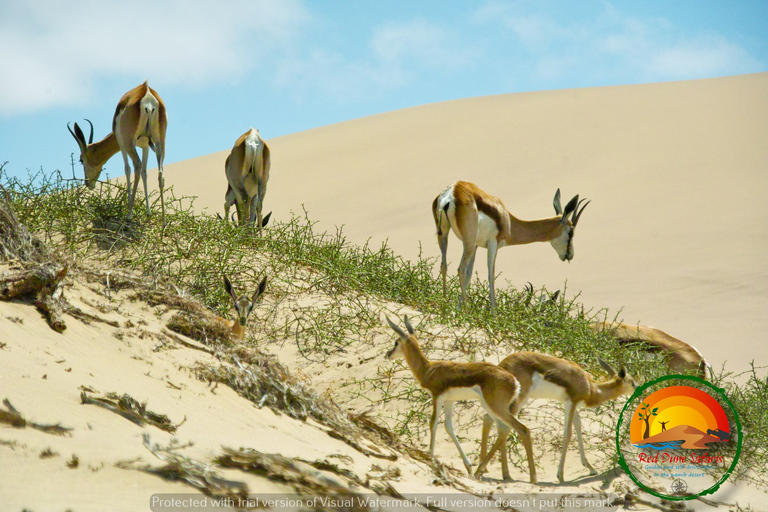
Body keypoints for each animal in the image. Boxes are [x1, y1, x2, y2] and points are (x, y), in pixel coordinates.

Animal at [68, 81, 168, 223]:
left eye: (81, 160)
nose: (88, 183)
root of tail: (147, 94)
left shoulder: (122, 144)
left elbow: (127, 169)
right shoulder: (145, 146)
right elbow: (145, 173)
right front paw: (148, 213)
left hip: (129, 143)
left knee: (136, 166)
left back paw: (129, 215)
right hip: (160, 143)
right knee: (160, 173)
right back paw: (164, 222)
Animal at [384, 314, 536, 482]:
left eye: (396, 342)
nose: (388, 354)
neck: (428, 369)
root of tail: (515, 382)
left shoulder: (437, 397)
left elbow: (433, 424)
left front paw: (430, 457)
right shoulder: (450, 401)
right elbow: (448, 427)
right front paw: (468, 466)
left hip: (496, 407)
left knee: (522, 429)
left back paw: (532, 479)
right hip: (492, 407)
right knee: (504, 429)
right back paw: (480, 471)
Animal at [432, 181, 588, 308]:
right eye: (571, 232)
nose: (570, 255)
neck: (507, 219)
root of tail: (451, 193)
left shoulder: (476, 245)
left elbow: (470, 274)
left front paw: (458, 308)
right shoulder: (493, 243)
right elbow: (491, 275)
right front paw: (493, 313)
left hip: (444, 235)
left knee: (444, 265)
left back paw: (445, 306)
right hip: (468, 241)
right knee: (461, 269)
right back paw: (465, 310)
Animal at [474, 352, 636, 484]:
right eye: (633, 383)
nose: (640, 392)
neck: (590, 386)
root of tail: (502, 365)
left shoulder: (569, 405)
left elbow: (578, 426)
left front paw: (590, 468)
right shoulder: (571, 403)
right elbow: (568, 433)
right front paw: (561, 475)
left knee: (490, 419)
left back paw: (494, 472)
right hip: (518, 400)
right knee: (508, 427)